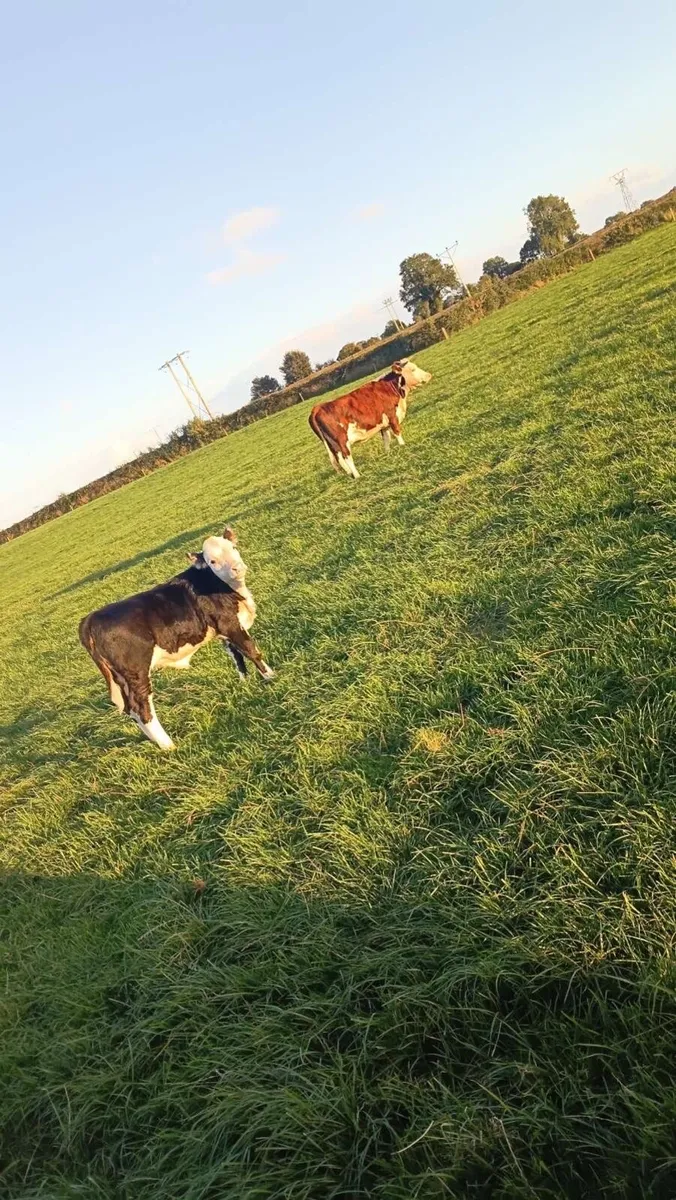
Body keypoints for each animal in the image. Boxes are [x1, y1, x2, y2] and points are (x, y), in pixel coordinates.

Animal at [78, 527, 274, 750]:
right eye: (212, 561)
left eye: (233, 548)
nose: (237, 568)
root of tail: (91, 617)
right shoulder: (231, 624)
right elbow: (251, 650)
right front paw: (271, 677)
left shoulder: (224, 630)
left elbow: (237, 657)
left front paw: (245, 684)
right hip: (136, 671)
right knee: (141, 706)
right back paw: (168, 745)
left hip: (121, 678)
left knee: (131, 710)